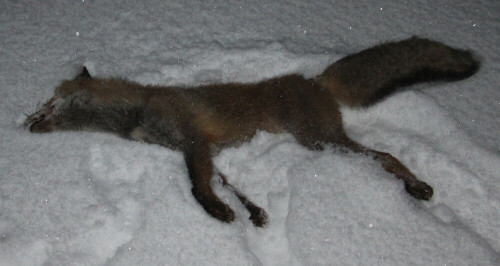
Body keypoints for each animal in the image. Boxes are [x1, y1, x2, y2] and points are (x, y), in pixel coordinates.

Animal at [24, 35, 480, 227]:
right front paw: (253, 212)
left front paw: (216, 212)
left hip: (318, 140)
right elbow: (230, 186)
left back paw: (416, 186)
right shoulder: (204, 152)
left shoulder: (193, 140)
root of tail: (314, 80)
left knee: (385, 155)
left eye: (49, 101)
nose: (24, 121)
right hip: (322, 140)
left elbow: (197, 187)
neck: (139, 111)